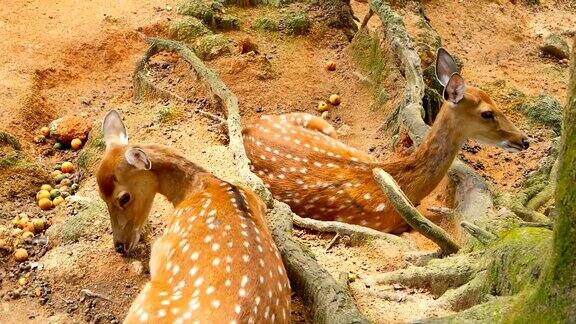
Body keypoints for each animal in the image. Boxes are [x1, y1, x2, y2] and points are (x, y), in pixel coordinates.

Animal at [97, 111, 292, 324]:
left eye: (124, 198)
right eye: (101, 197)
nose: (119, 246)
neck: (200, 187)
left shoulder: (162, 245)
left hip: (145, 305)